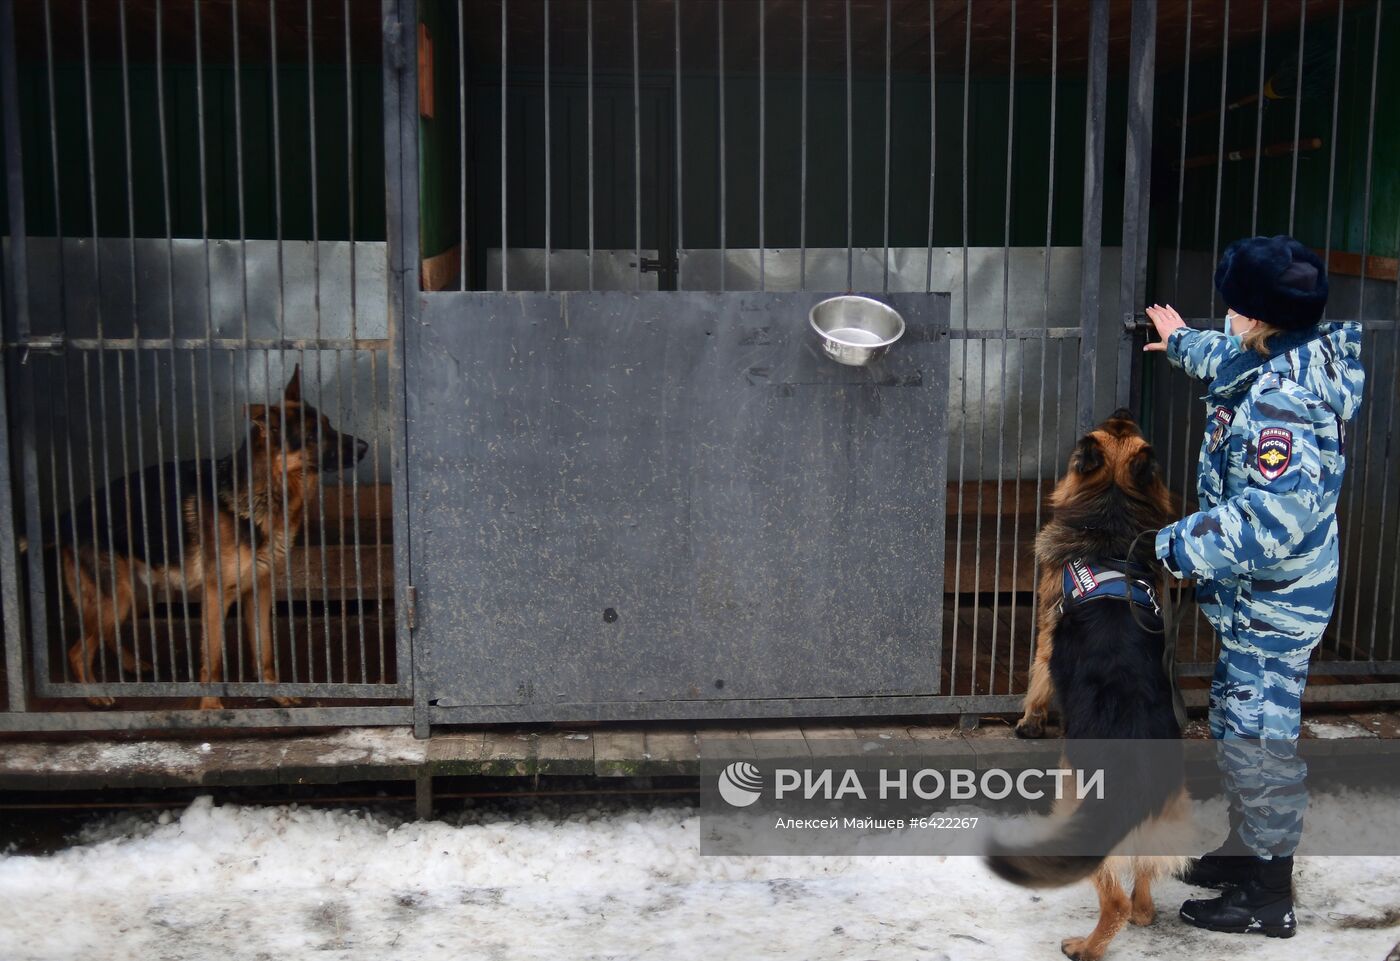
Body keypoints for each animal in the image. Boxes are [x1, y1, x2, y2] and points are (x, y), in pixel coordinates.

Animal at [53, 367, 366, 708]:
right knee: (77, 651)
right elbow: (213, 656)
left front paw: (278, 695)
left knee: (108, 634)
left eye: (329, 424)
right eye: (313, 436)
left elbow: (265, 652)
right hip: (118, 596)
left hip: (139, 594)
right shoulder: (216, 595)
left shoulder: (259, 591)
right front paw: (211, 706)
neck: (263, 492)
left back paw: (132, 665)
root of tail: (69, 515)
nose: (364, 446)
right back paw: (95, 695)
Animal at [985, 409, 1192, 961]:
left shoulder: (1044, 634)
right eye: (1122, 425)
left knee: (1113, 897)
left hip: (1074, 802)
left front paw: (1028, 722)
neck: (1114, 513)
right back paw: (1142, 914)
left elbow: (1037, 683)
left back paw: (1087, 946)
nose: (1122, 408)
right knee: (1143, 881)